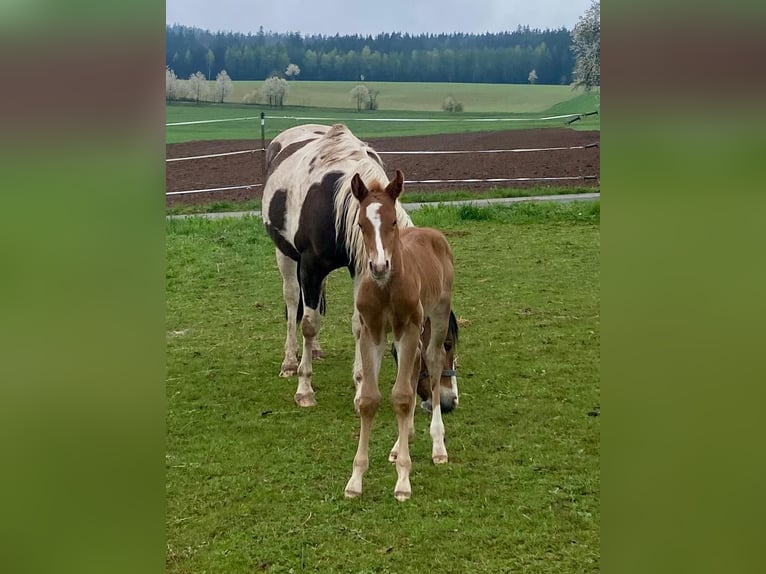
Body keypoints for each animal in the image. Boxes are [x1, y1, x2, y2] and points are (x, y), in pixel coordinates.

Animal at [261, 124, 459, 411]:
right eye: (445, 343)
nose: (447, 400)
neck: (334, 203)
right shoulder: (310, 266)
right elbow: (308, 323)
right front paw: (304, 388)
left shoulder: (360, 267)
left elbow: (357, 323)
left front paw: (359, 386)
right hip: (286, 256)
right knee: (292, 302)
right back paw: (289, 362)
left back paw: (316, 350)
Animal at [343, 169, 455, 501]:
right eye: (361, 224)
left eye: (393, 222)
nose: (379, 266)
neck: (386, 288)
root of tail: (432, 234)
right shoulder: (373, 331)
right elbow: (369, 399)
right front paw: (355, 480)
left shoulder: (407, 327)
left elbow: (403, 397)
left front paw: (403, 481)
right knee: (417, 364)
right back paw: (400, 443)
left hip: (436, 316)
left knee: (432, 364)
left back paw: (438, 445)